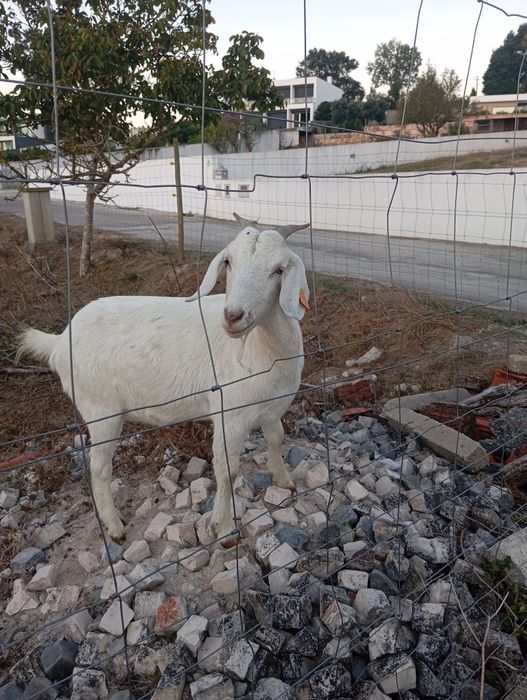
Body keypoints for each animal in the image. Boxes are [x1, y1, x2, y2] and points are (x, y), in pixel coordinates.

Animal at [18, 213, 310, 543]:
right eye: (229, 261)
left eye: (279, 269)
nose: (233, 316)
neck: (261, 349)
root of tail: (59, 341)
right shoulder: (229, 414)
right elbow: (228, 470)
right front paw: (224, 527)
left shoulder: (273, 406)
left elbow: (277, 438)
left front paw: (284, 479)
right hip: (100, 409)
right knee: (99, 468)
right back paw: (114, 526)